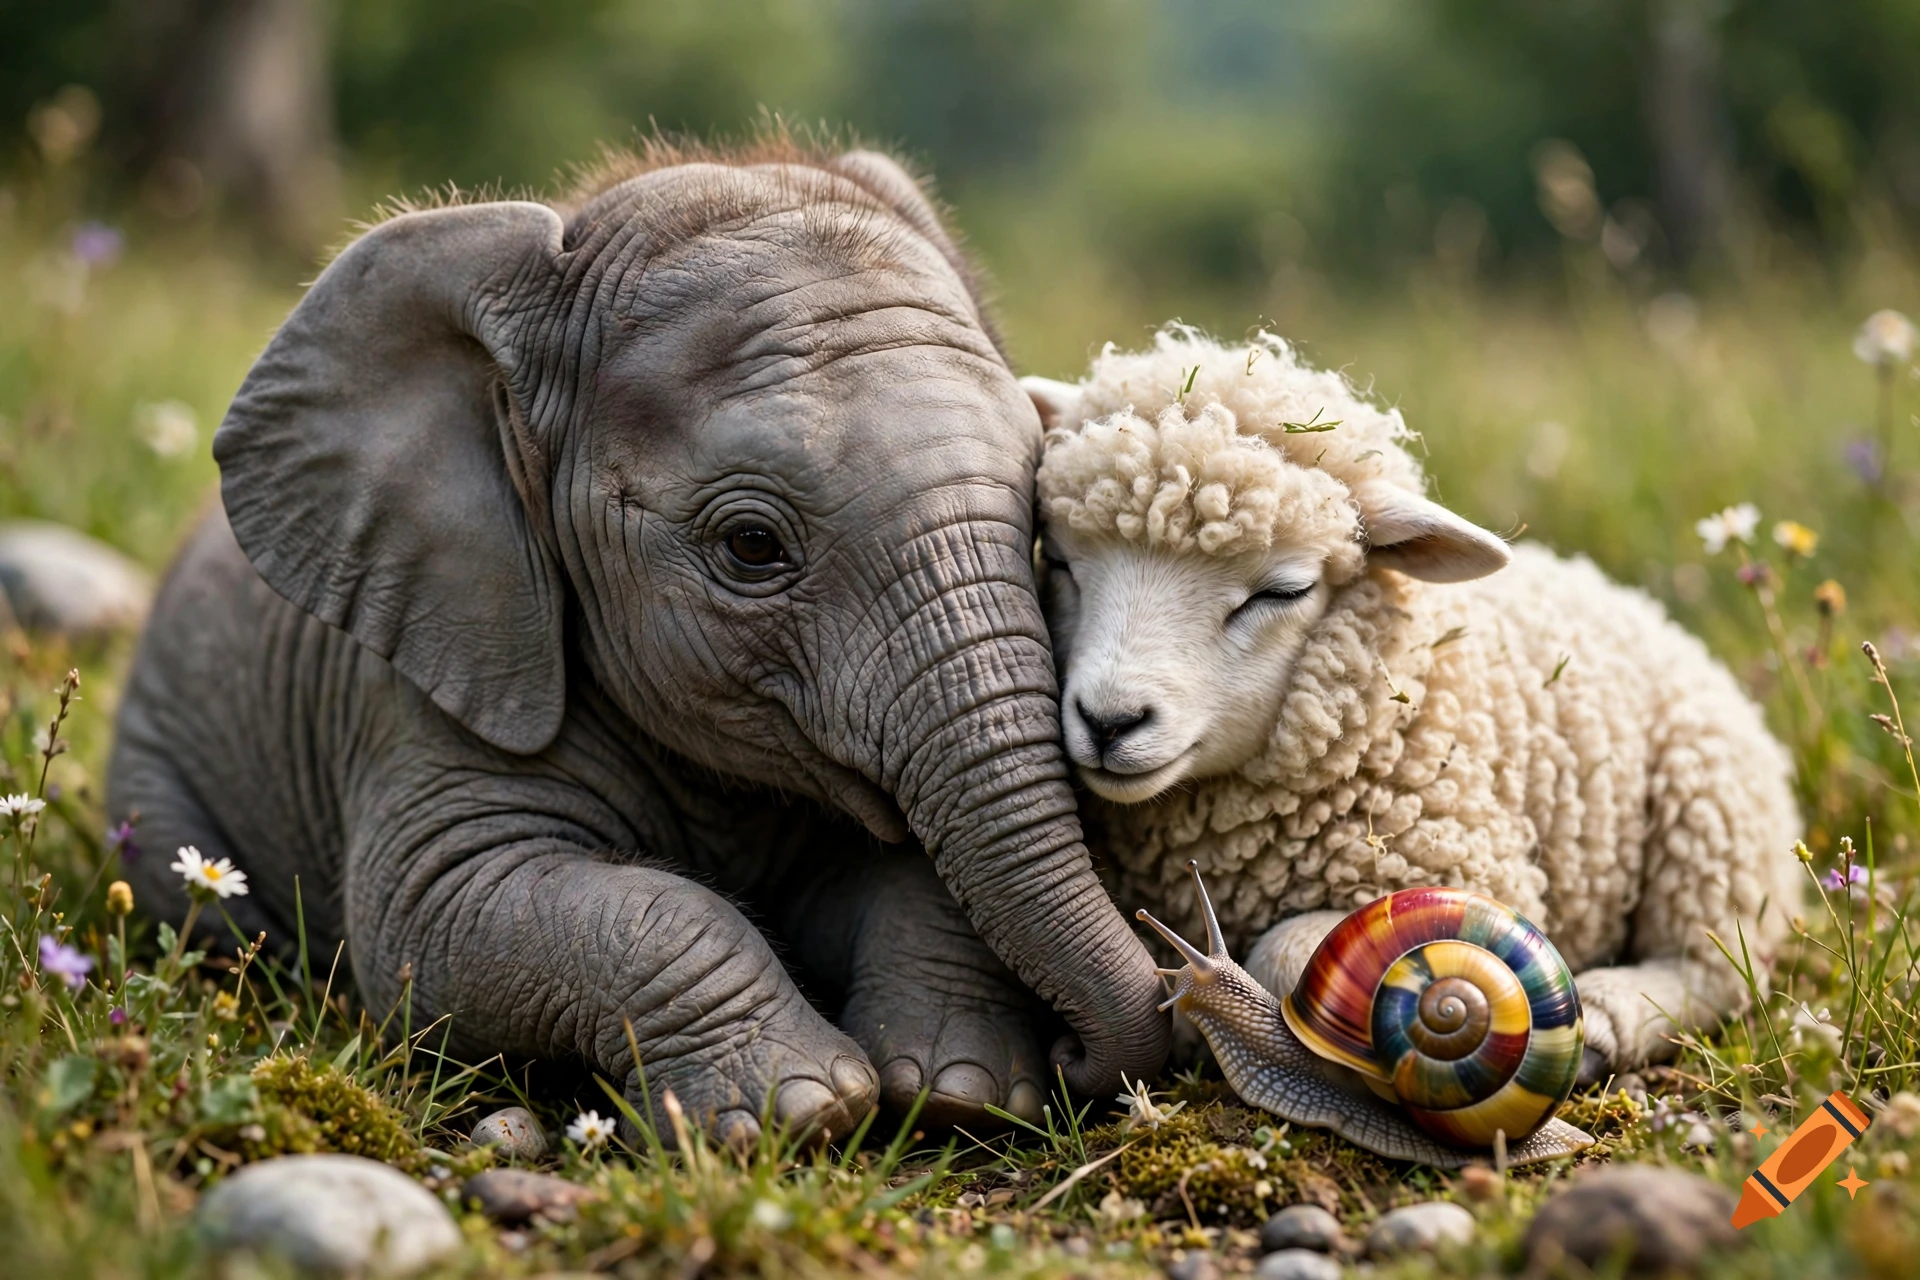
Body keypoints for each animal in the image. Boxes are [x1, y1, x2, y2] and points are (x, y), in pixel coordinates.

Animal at [107, 142, 1170, 1145]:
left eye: (1037, 525)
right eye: (752, 545)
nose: (1084, 1057)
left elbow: (921, 877)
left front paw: (959, 1095)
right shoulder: (439, 674)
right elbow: (437, 917)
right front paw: (800, 1112)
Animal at [1025, 328, 1802, 1077]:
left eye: (1283, 591)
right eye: (1057, 561)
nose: (1109, 722)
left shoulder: (1480, 877)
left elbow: (1286, 951)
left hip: (1712, 810)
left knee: (1717, 962)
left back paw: (1608, 1018)